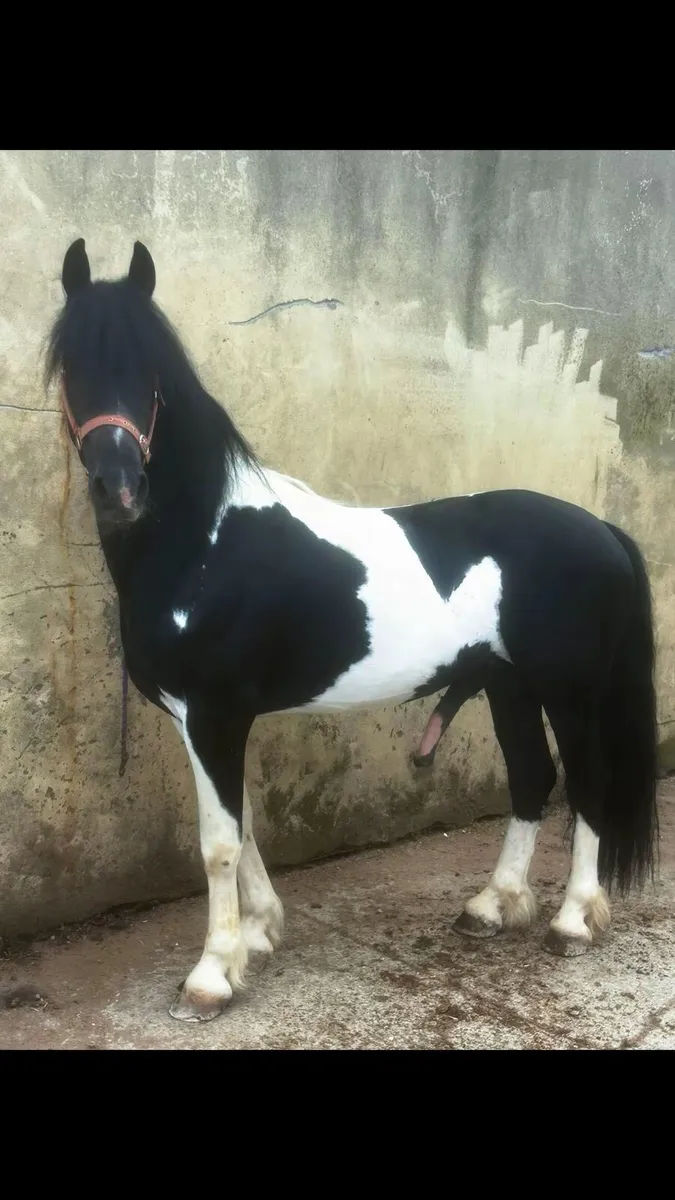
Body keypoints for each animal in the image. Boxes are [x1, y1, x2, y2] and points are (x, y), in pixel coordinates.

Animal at [45, 238, 659, 1023]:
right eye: (72, 366)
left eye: (151, 373)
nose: (118, 488)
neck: (205, 543)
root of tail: (602, 530)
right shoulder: (209, 721)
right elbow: (245, 823)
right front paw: (260, 935)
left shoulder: (213, 715)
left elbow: (218, 841)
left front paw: (213, 974)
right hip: (509, 688)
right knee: (532, 780)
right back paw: (491, 906)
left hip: (570, 692)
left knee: (585, 786)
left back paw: (574, 919)